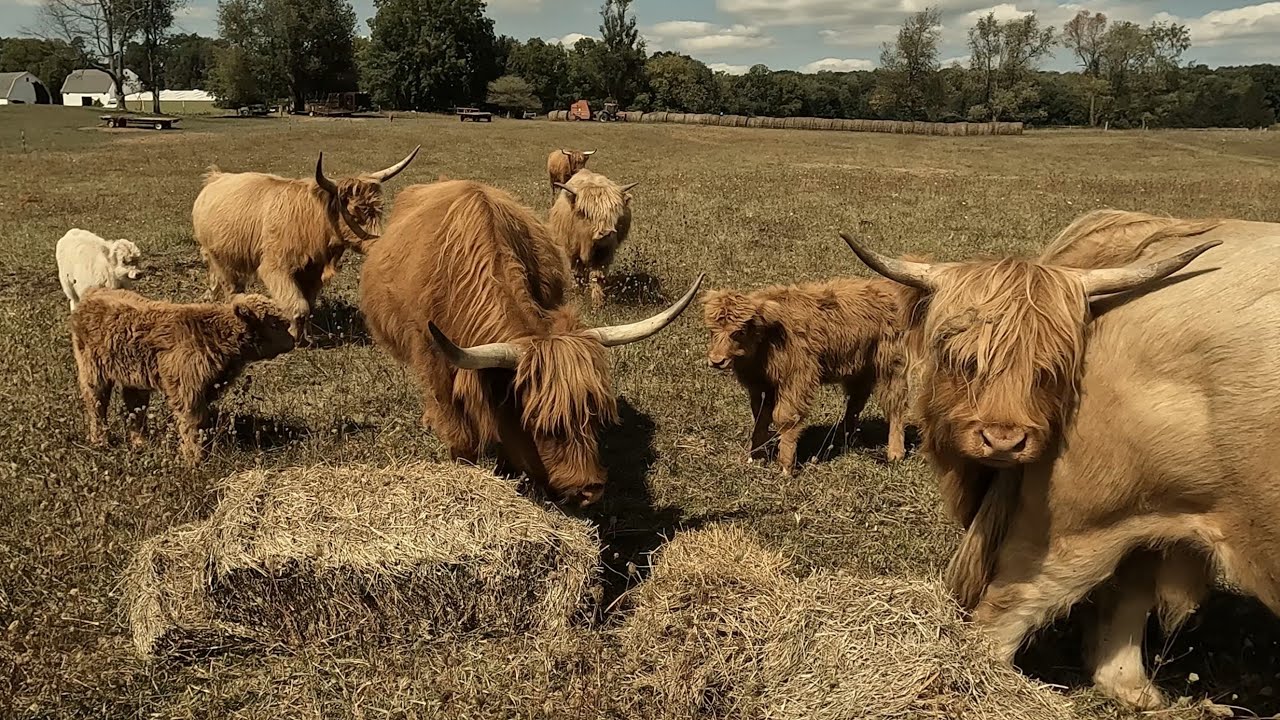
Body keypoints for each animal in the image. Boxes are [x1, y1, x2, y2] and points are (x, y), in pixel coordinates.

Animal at [70, 288, 295, 464]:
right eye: (274, 324)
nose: (293, 341)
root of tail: (93, 293)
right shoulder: (187, 391)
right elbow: (192, 425)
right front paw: (195, 459)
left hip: (134, 376)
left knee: (135, 408)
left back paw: (141, 442)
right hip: (92, 371)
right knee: (97, 405)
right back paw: (100, 441)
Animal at [192, 146, 419, 343]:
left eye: (378, 210)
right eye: (355, 213)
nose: (382, 245)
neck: (314, 221)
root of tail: (216, 177)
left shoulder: (312, 272)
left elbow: (308, 304)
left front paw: (307, 337)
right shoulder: (276, 268)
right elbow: (298, 305)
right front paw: (294, 336)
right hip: (219, 257)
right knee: (231, 287)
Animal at [548, 169, 638, 307]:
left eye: (614, 212)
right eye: (586, 213)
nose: (606, 233)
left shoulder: (604, 252)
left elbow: (597, 276)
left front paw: (598, 302)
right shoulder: (572, 252)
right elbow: (577, 275)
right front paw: (578, 297)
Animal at [702, 276, 924, 473]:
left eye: (739, 331)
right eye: (711, 330)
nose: (716, 360)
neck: (768, 338)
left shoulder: (797, 378)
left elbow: (785, 416)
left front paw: (785, 467)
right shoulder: (760, 386)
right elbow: (760, 417)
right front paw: (755, 457)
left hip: (891, 365)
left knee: (895, 405)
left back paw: (895, 453)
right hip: (860, 367)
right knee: (855, 402)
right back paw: (845, 440)